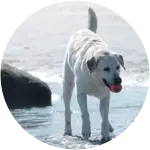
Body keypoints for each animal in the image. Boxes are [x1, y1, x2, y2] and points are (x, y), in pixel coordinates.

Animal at [61, 7, 125, 142]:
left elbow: (105, 116)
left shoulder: (106, 96)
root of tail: (85, 29)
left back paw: (109, 127)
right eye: (106, 69)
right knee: (67, 108)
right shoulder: (81, 93)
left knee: (102, 112)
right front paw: (86, 130)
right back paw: (67, 130)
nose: (118, 81)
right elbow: (85, 113)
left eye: (118, 67)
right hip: (67, 82)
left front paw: (105, 134)